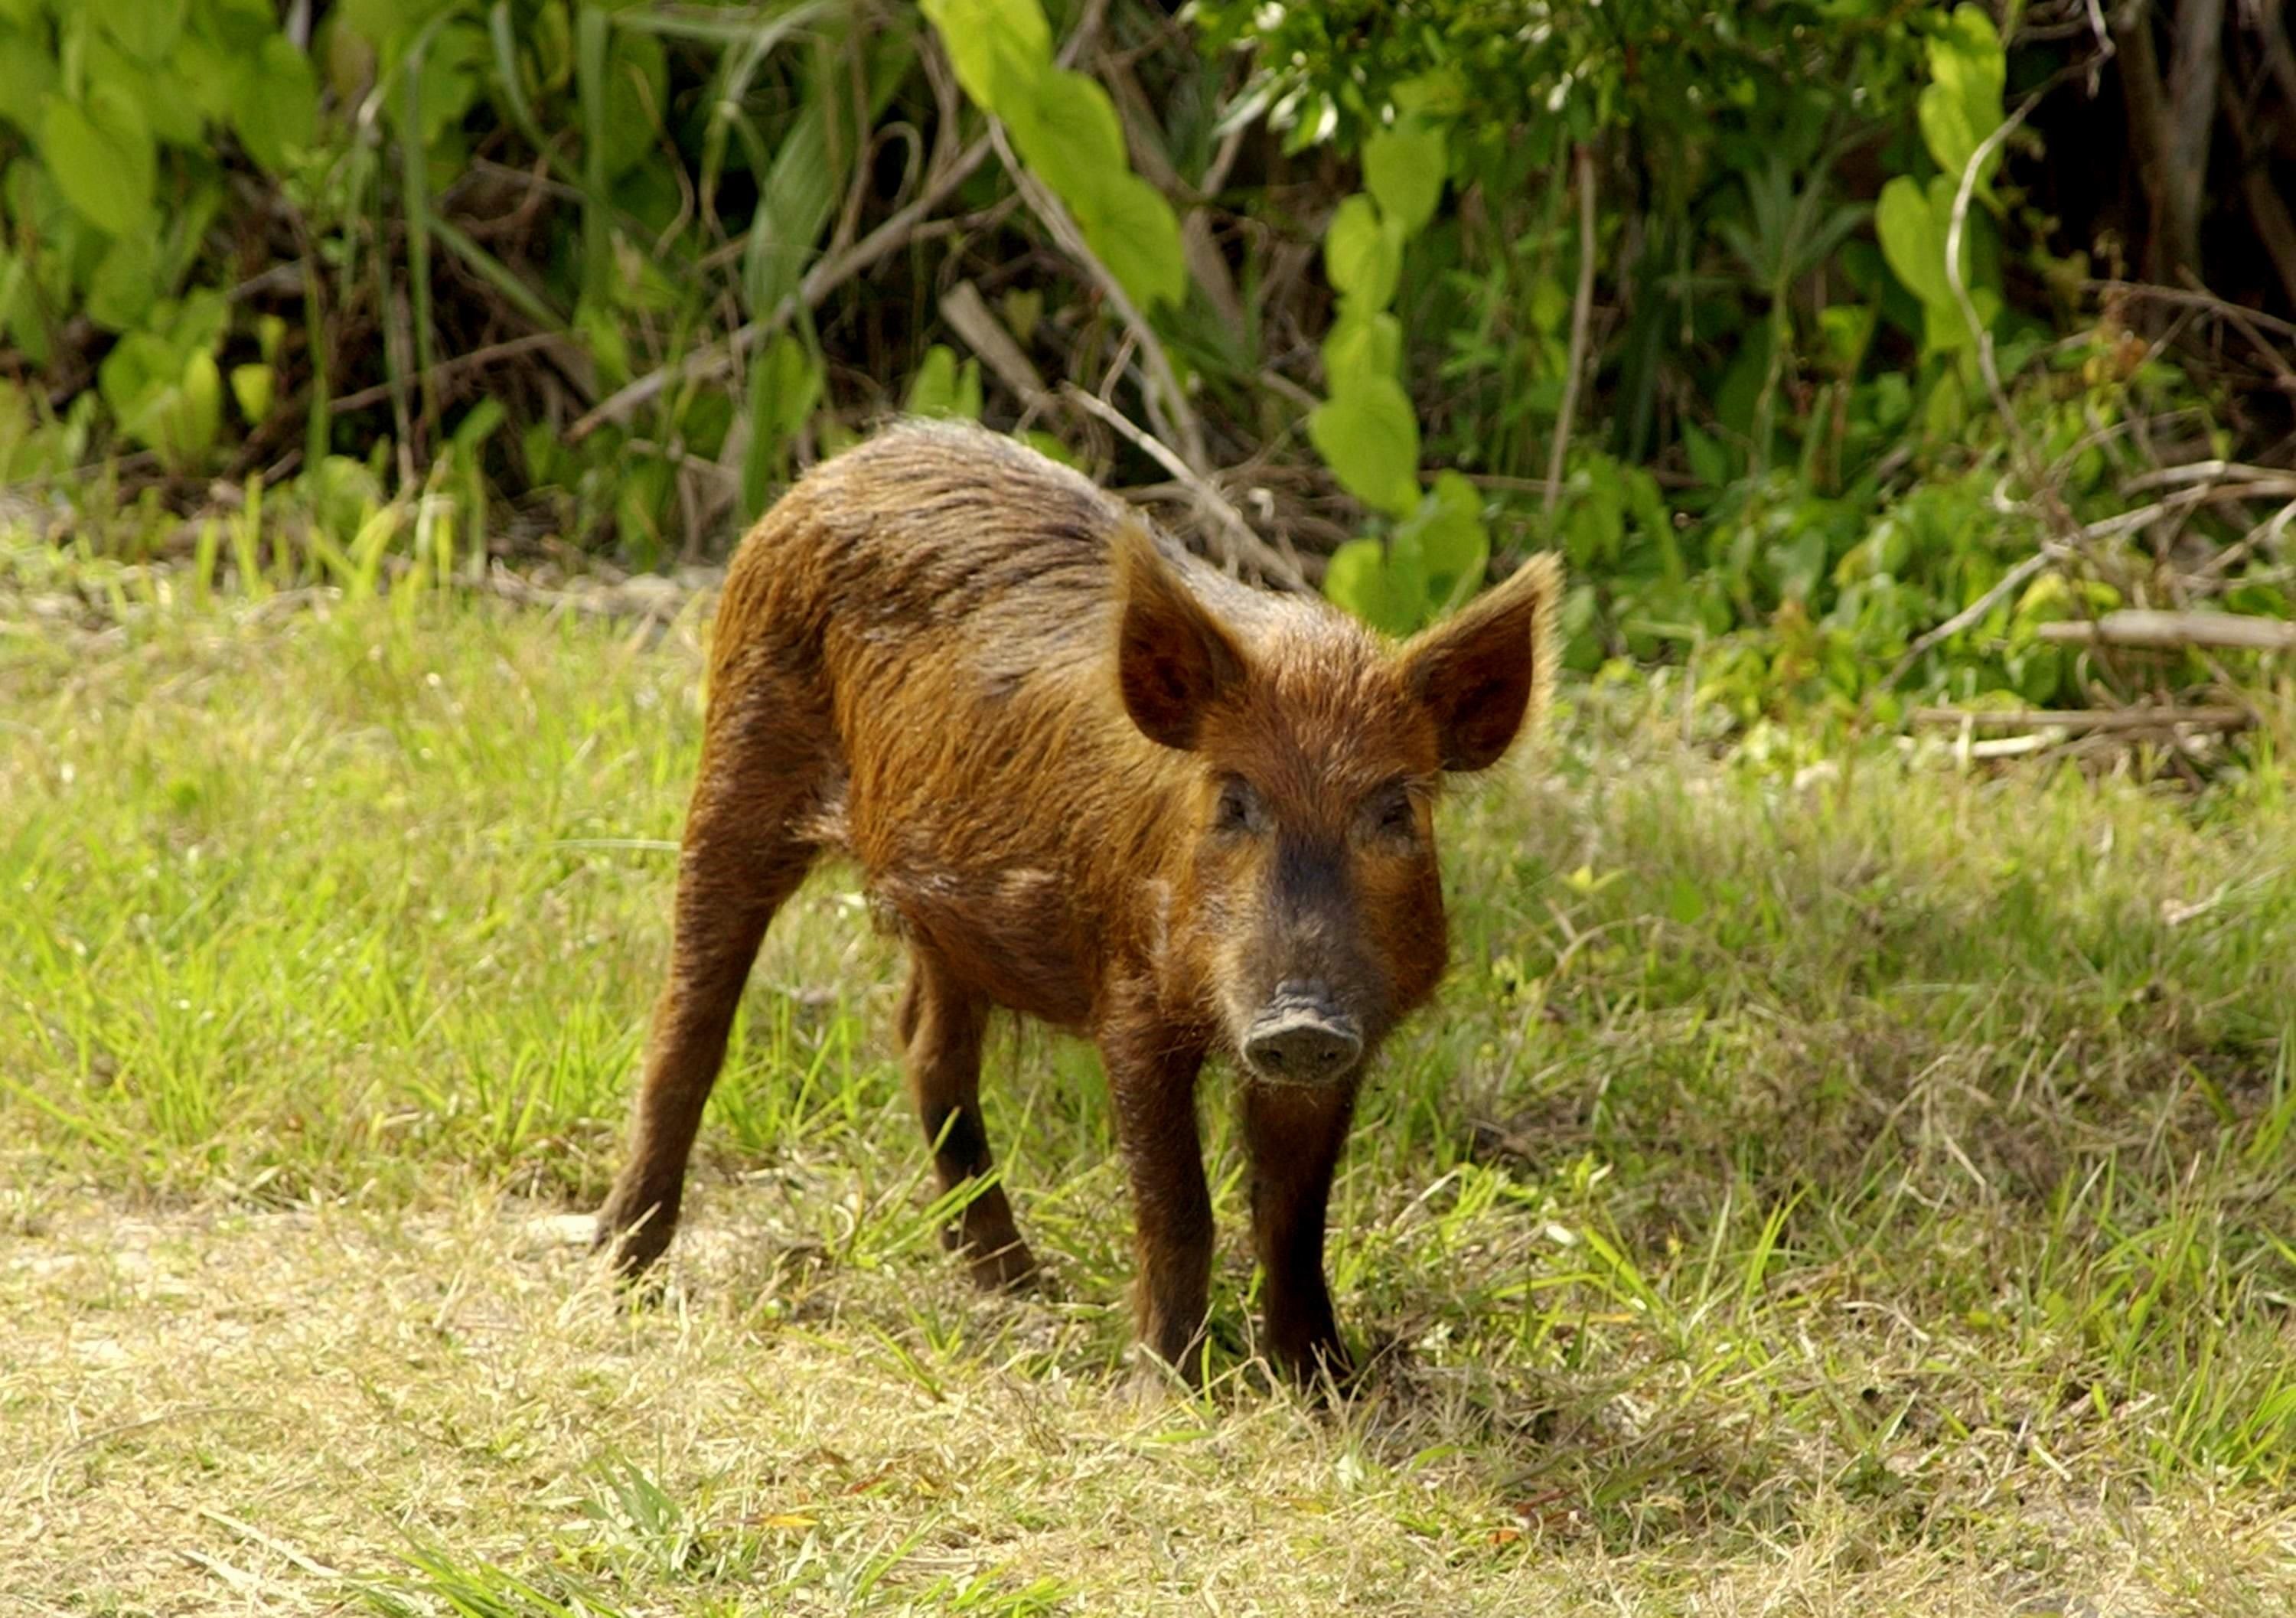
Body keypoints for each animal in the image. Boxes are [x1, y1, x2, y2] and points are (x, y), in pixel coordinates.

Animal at [597, 422, 1561, 1386]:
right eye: (1233, 800)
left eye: (1395, 809)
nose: (1301, 1017)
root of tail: (842, 464)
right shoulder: (1129, 992)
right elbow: (1177, 1199)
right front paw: (1167, 1386)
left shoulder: (1342, 1046)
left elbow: (1294, 1216)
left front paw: (1327, 1379)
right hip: (739, 755)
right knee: (690, 1018)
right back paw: (621, 1271)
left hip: (948, 901)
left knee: (926, 1046)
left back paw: (1019, 1284)